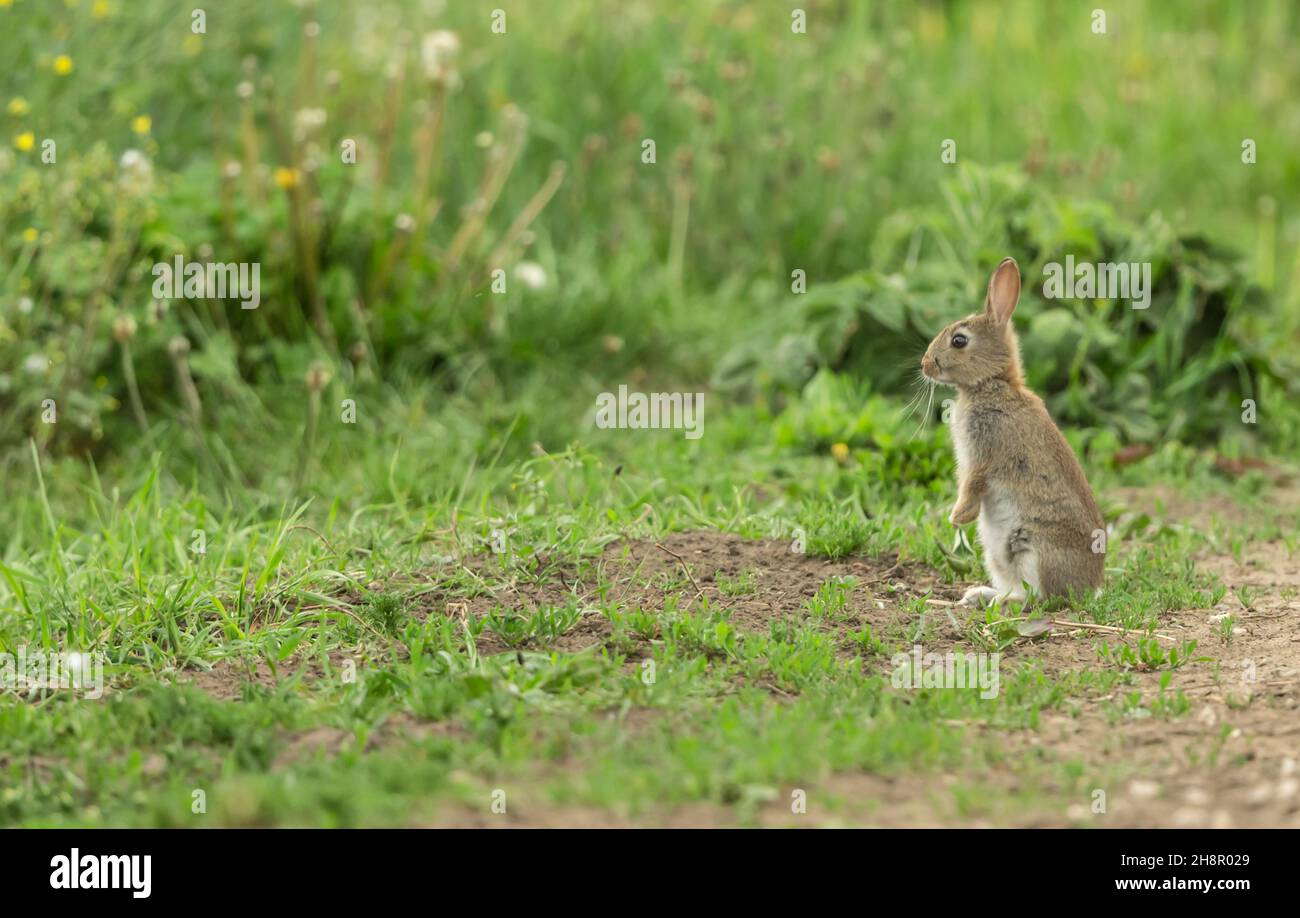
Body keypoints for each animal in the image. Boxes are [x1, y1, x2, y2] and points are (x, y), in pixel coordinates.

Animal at [920, 253, 1102, 603]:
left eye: (959, 340)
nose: (925, 364)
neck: (992, 384)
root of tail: (1089, 588)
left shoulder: (983, 454)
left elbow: (972, 484)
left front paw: (956, 517)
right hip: (997, 554)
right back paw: (979, 595)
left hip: (1033, 550)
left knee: (1036, 598)